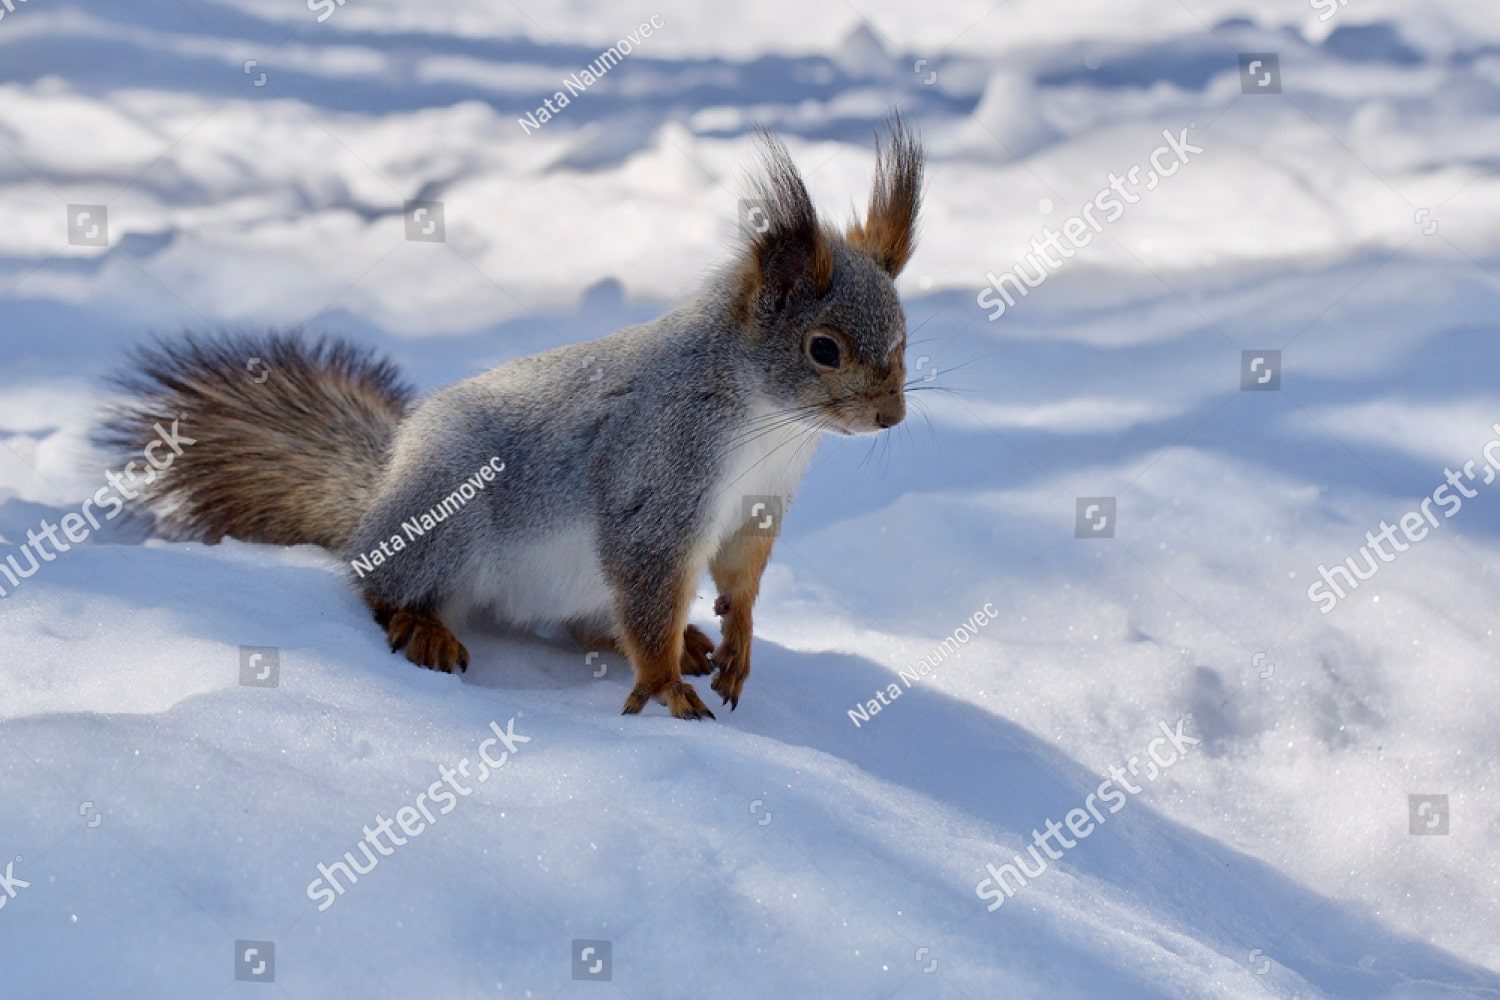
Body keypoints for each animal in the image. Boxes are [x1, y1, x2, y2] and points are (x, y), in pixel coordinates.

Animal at [97, 119, 924, 720]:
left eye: (903, 337)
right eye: (824, 349)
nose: (890, 416)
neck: (769, 423)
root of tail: (377, 502)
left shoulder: (757, 507)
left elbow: (742, 581)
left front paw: (737, 642)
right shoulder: (657, 484)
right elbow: (648, 585)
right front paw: (663, 686)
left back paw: (688, 640)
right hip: (445, 519)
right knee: (382, 585)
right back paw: (424, 627)